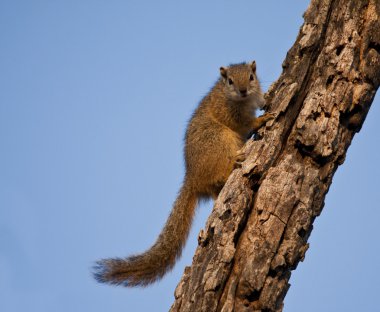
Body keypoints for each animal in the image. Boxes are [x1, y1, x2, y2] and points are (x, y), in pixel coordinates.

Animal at [94, 61, 274, 288]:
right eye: (229, 81)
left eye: (251, 76)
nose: (242, 90)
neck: (241, 100)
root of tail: (193, 179)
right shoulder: (227, 112)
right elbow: (244, 123)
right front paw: (261, 120)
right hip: (217, 139)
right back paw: (233, 163)